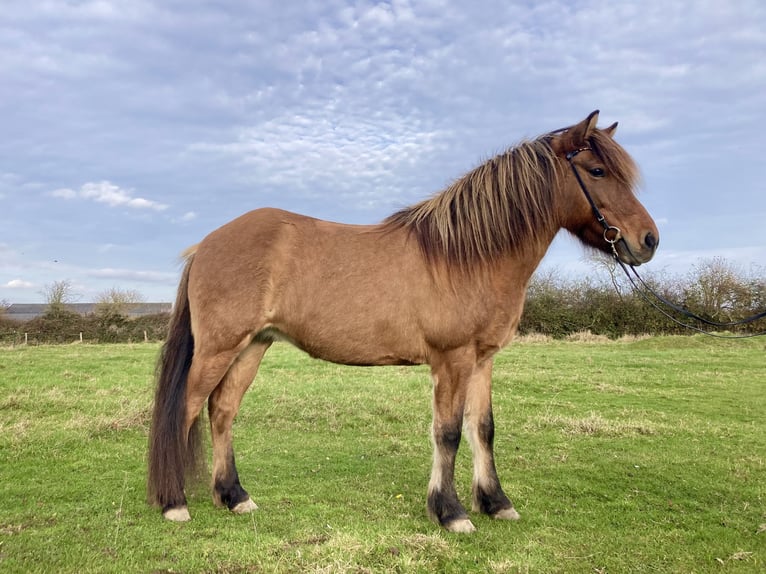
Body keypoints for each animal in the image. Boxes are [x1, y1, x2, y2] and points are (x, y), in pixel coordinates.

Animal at [148, 110, 659, 533]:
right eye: (597, 171)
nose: (648, 240)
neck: (467, 255)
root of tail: (207, 244)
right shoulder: (452, 360)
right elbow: (447, 433)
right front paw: (450, 512)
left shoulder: (483, 359)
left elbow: (483, 428)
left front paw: (495, 503)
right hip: (220, 347)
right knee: (186, 410)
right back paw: (175, 503)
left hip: (254, 345)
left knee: (222, 411)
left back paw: (234, 496)